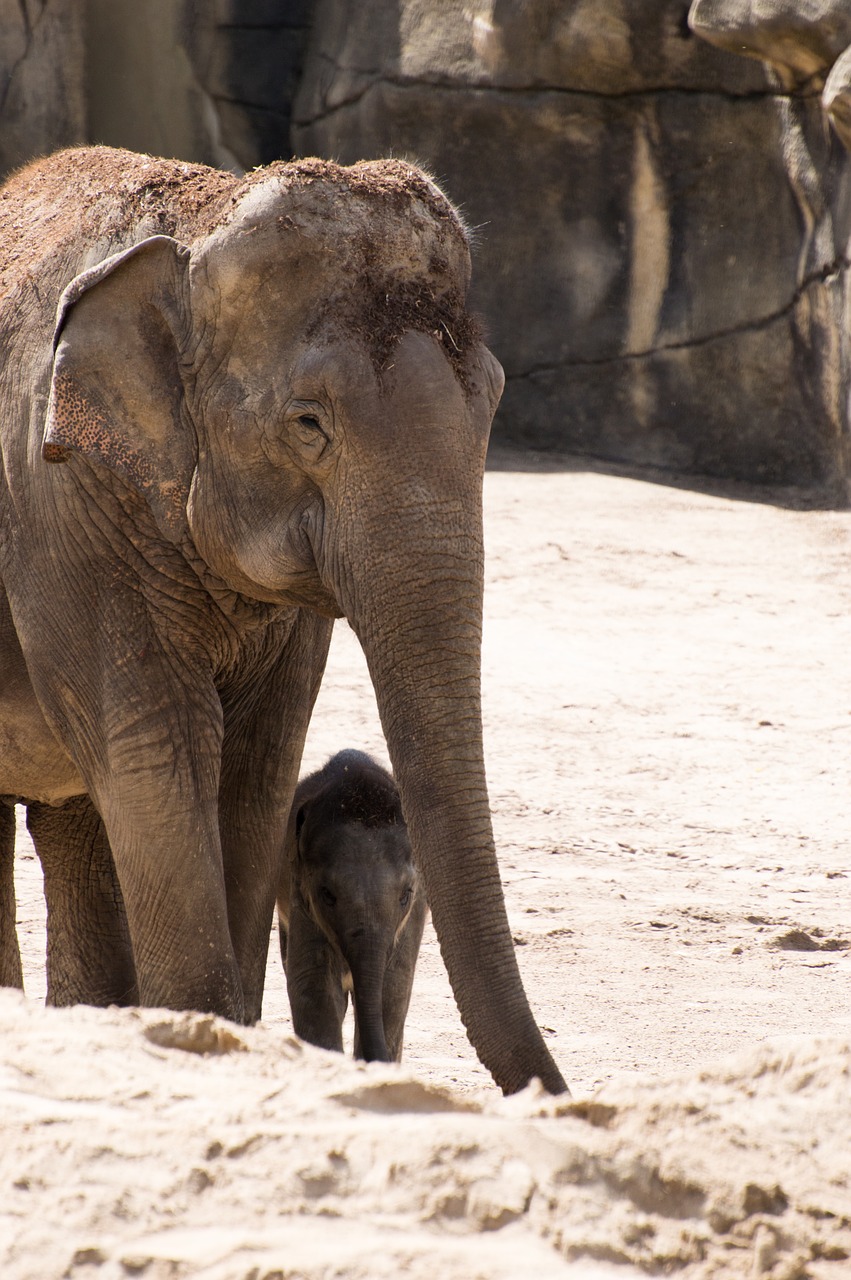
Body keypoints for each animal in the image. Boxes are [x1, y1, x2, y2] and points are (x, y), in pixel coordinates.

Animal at [277, 747, 424, 1059]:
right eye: (327, 894)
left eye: (406, 895)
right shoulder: (300, 891)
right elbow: (313, 985)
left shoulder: (417, 910)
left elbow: (394, 986)